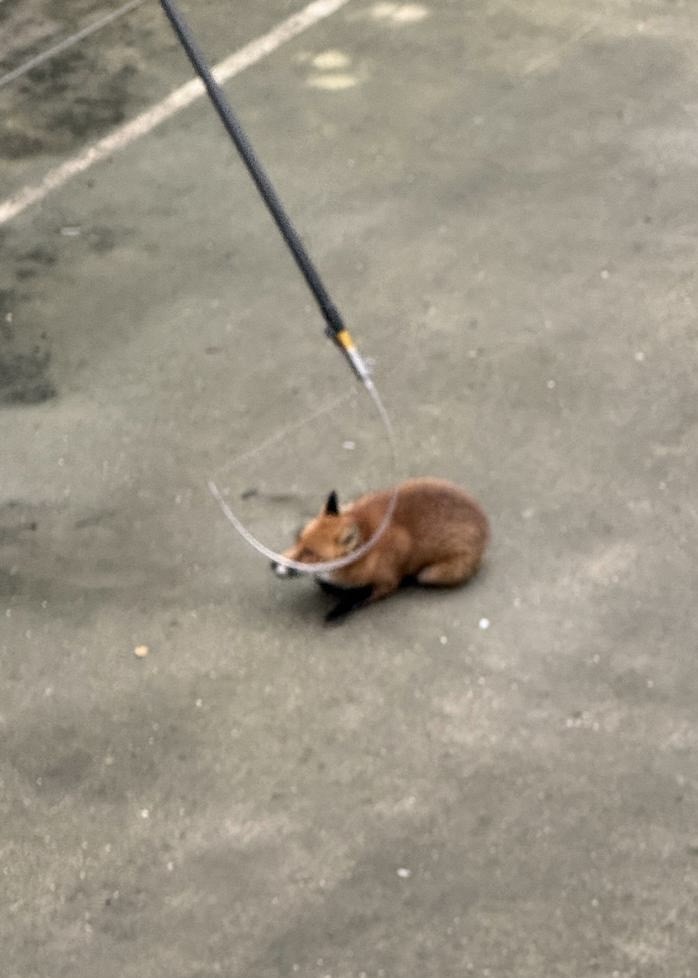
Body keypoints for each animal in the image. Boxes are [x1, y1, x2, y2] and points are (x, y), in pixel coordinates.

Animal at [271, 477, 489, 621]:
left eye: (310, 553)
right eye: (298, 538)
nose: (273, 564)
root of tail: (484, 523)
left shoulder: (387, 582)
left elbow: (360, 597)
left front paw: (338, 609)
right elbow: (324, 584)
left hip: (433, 574)